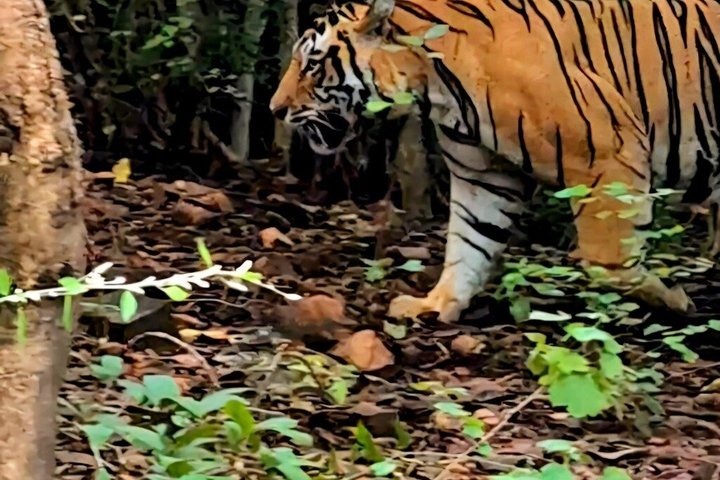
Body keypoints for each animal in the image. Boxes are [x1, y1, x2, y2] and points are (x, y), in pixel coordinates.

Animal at [270, 0, 720, 322]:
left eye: (312, 65)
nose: (276, 109)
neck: (435, 86)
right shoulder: (484, 174)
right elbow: (469, 242)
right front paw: (435, 304)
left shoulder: (606, 153)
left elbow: (609, 261)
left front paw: (673, 301)